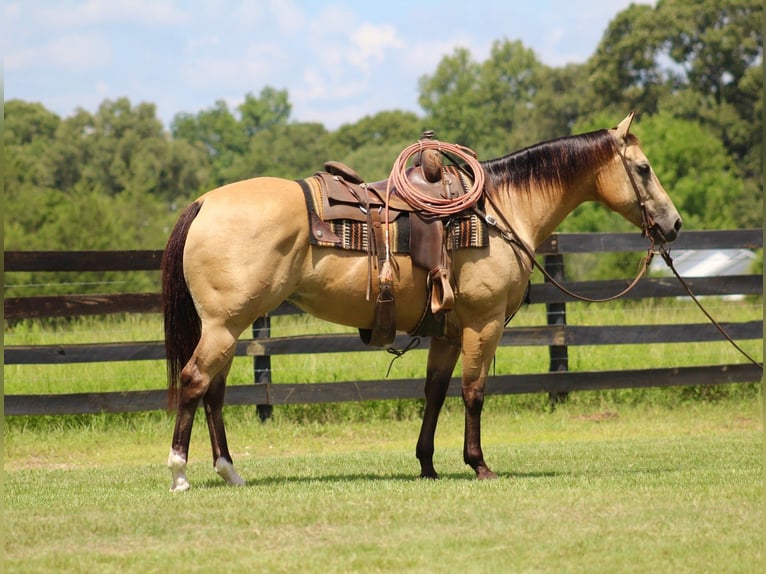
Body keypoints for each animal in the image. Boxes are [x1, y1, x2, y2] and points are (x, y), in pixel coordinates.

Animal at [162, 113, 684, 496]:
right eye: (643, 169)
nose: (674, 224)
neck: (498, 213)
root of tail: (205, 202)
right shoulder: (483, 325)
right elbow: (474, 392)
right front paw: (479, 464)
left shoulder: (446, 333)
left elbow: (434, 392)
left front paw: (427, 464)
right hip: (223, 326)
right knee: (194, 382)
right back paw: (180, 473)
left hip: (232, 328)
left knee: (214, 393)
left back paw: (230, 471)